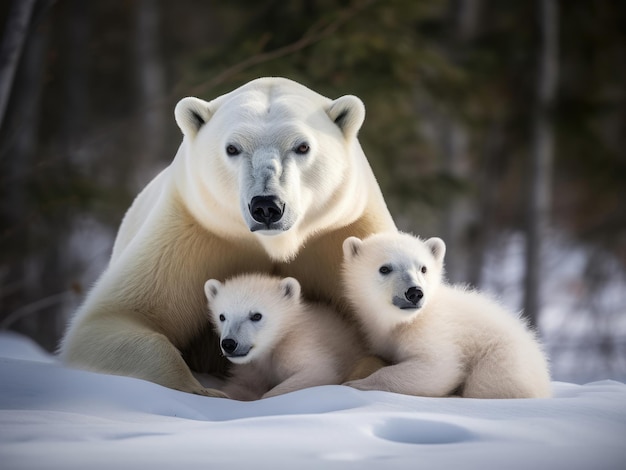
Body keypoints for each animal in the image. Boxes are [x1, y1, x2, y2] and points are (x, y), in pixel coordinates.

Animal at [202, 272, 364, 400]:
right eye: (222, 316)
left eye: (256, 315)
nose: (229, 343)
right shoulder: (251, 367)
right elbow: (245, 386)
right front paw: (217, 392)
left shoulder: (297, 345)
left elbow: (318, 371)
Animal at [338, 233, 548, 398]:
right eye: (384, 268)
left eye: (423, 268)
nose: (415, 292)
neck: (403, 322)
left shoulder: (434, 330)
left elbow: (437, 367)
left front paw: (355, 384)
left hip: (504, 359)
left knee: (486, 384)